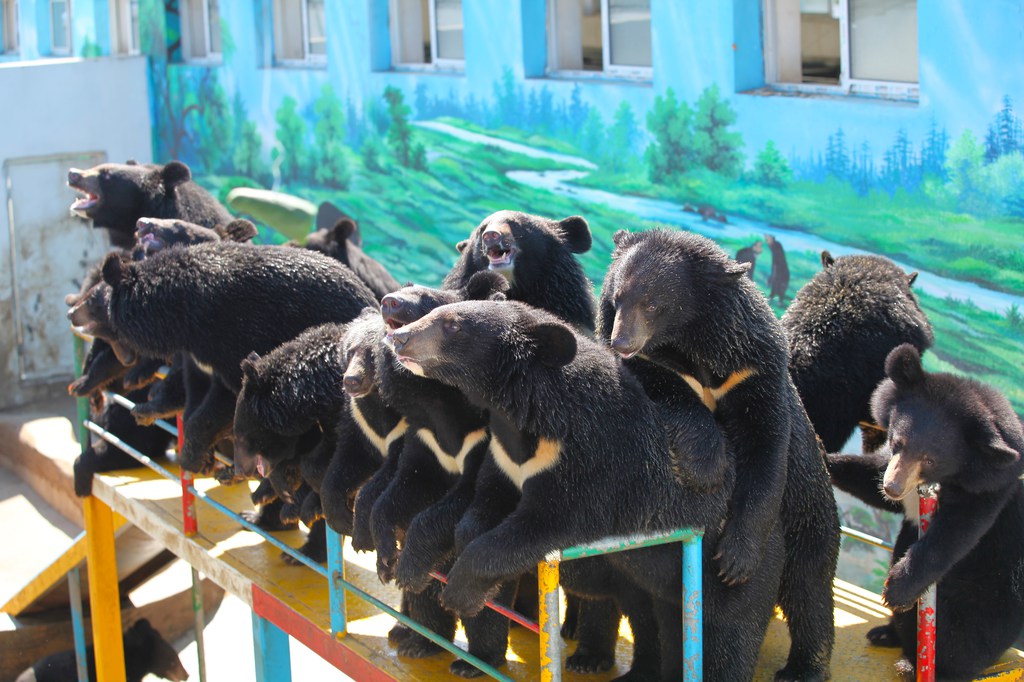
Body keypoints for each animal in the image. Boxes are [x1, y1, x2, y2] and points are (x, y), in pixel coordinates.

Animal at [69, 242, 378, 472]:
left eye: (93, 298)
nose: (71, 312)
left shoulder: (236, 336)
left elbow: (229, 397)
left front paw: (191, 457)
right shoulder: (199, 354)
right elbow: (194, 388)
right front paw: (146, 410)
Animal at [386, 299, 774, 680]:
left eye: (452, 324)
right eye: (437, 314)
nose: (398, 337)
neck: (532, 414)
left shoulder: (594, 462)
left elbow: (546, 522)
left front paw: (458, 592)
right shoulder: (505, 455)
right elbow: (486, 502)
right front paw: (418, 569)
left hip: (728, 571)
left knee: (729, 636)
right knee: (654, 619)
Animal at [600, 228, 839, 682]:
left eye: (653, 303)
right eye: (617, 298)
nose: (621, 342)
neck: (692, 338)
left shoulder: (754, 370)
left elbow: (766, 451)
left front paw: (735, 562)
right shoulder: (660, 365)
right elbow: (667, 389)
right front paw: (705, 464)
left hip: (811, 511)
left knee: (810, 587)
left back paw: (803, 667)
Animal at [827, 344, 1024, 680]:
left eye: (930, 459)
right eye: (897, 441)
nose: (893, 487)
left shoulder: (991, 489)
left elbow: (954, 534)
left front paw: (897, 588)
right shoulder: (895, 469)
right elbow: (870, 475)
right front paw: (825, 458)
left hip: (993, 592)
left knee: (968, 630)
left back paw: (922, 665)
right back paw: (886, 634)